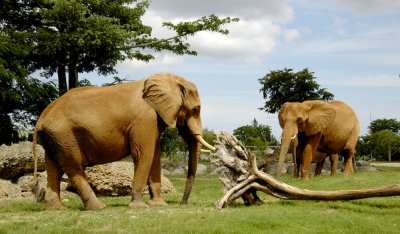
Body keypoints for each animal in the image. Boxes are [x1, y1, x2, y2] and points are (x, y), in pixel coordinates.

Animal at [32, 72, 216, 210]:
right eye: (196, 109)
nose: (182, 203)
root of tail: (41, 119)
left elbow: (154, 156)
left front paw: (158, 205)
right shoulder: (144, 119)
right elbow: (143, 154)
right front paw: (140, 207)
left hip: (55, 138)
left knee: (54, 168)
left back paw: (56, 209)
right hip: (64, 135)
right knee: (74, 167)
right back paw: (99, 208)